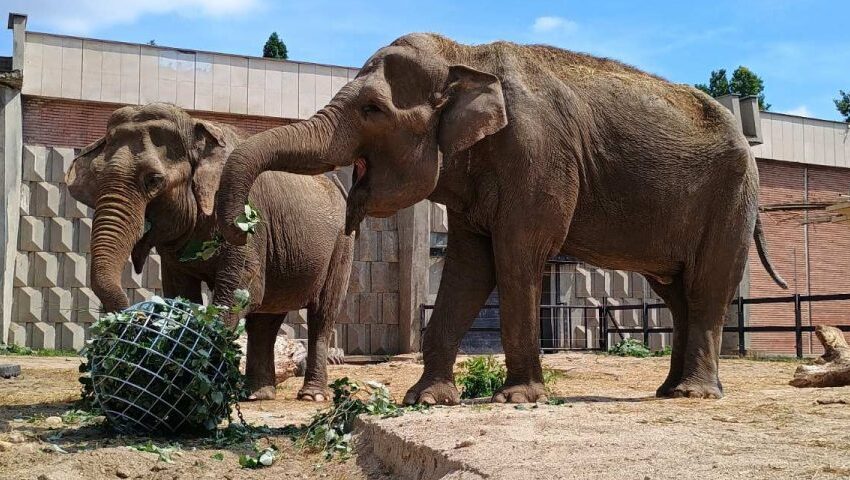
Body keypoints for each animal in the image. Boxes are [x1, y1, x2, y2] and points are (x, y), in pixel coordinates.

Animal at [64, 104, 352, 402]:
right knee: (266, 318)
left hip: (341, 245)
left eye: (154, 180)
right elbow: (182, 292)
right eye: (96, 179)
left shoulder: (247, 216)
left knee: (322, 314)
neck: (196, 126)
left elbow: (237, 291)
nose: (137, 318)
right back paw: (255, 394)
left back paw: (311, 396)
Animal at [215, 31, 784, 404]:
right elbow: (469, 267)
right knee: (676, 291)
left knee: (707, 286)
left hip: (732, 196)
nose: (240, 225)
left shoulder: (536, 156)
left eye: (373, 109)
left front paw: (517, 399)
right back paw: (670, 391)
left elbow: (516, 257)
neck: (466, 57)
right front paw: (425, 400)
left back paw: (694, 394)